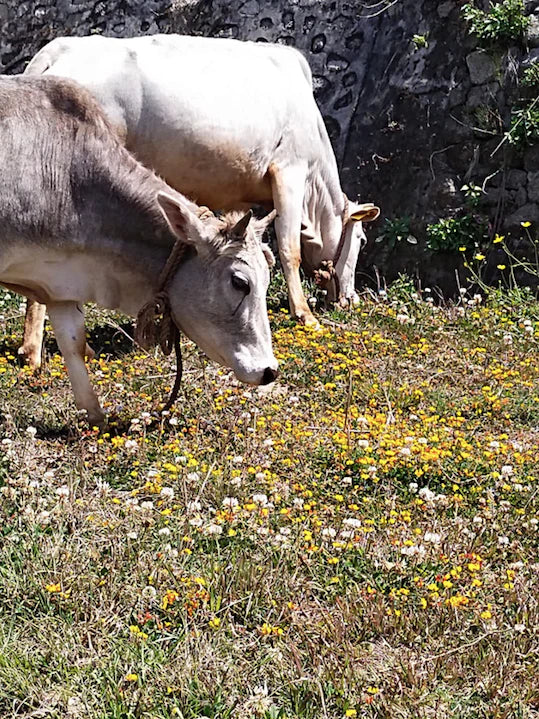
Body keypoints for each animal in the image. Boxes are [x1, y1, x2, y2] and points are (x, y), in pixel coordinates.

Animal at [19, 33, 380, 368]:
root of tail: (59, 48)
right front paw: (306, 315)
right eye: (361, 240)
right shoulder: (289, 171)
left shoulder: (237, 194)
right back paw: (38, 352)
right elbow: (289, 248)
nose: (351, 300)